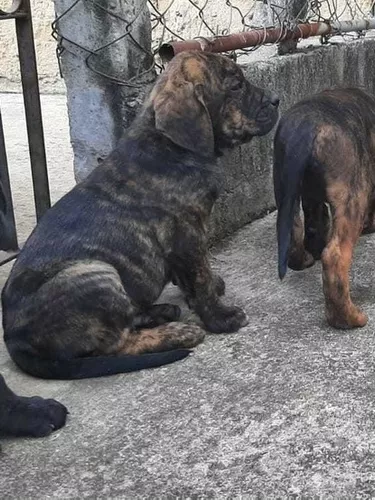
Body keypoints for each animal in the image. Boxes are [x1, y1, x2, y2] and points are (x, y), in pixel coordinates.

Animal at [2, 51, 280, 378]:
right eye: (235, 85)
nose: (276, 100)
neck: (171, 144)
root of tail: (15, 341)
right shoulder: (188, 233)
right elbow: (200, 276)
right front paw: (219, 317)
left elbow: (191, 277)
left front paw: (204, 292)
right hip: (95, 272)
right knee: (117, 343)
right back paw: (177, 333)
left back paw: (159, 312)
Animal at [274, 86, 375, 328]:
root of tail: (303, 130)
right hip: (352, 196)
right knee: (335, 257)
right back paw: (347, 318)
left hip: (286, 191)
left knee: (295, 234)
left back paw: (305, 259)